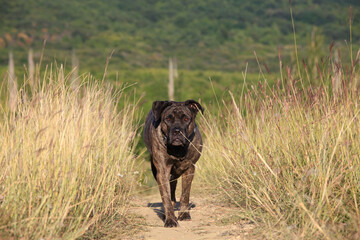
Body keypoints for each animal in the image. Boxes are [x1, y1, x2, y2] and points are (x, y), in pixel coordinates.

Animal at [144, 100, 205, 228]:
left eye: (186, 119)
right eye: (168, 118)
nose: (177, 131)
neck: (177, 150)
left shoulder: (189, 169)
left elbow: (185, 194)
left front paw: (184, 214)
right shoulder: (162, 171)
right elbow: (166, 197)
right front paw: (170, 219)